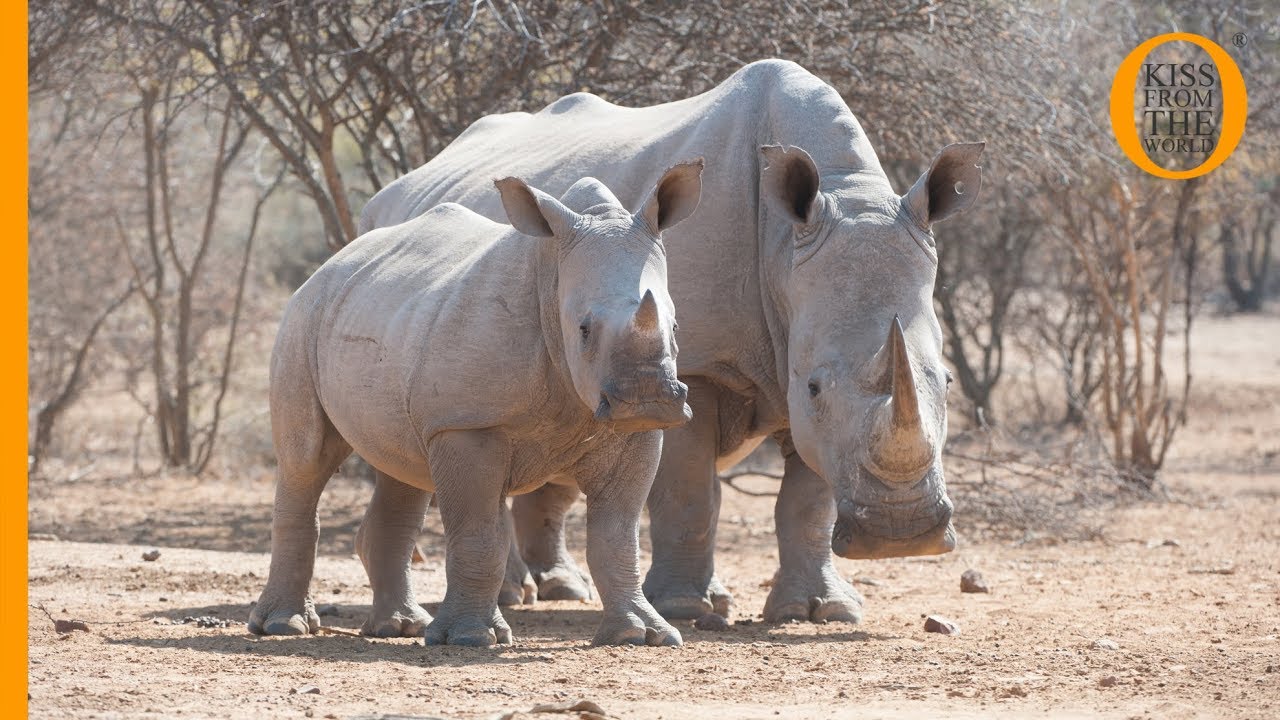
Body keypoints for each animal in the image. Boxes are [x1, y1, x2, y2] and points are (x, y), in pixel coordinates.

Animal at [249, 162, 705, 646]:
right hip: (303, 318)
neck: (551, 275)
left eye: (676, 326)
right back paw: (283, 625)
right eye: (583, 329)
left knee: (402, 467)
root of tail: (328, 264)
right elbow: (479, 534)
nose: (649, 400)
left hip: (381, 318)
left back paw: (401, 627)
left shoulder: (634, 434)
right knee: (306, 461)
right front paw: (470, 637)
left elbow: (617, 537)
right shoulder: (467, 424)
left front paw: (642, 634)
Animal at [360, 59, 983, 624]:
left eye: (949, 381)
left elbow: (810, 496)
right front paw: (682, 608)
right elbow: (689, 490)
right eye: (813, 388)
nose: (902, 532)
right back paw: (519, 597)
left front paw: (822, 611)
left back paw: (564, 589)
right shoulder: (698, 367)